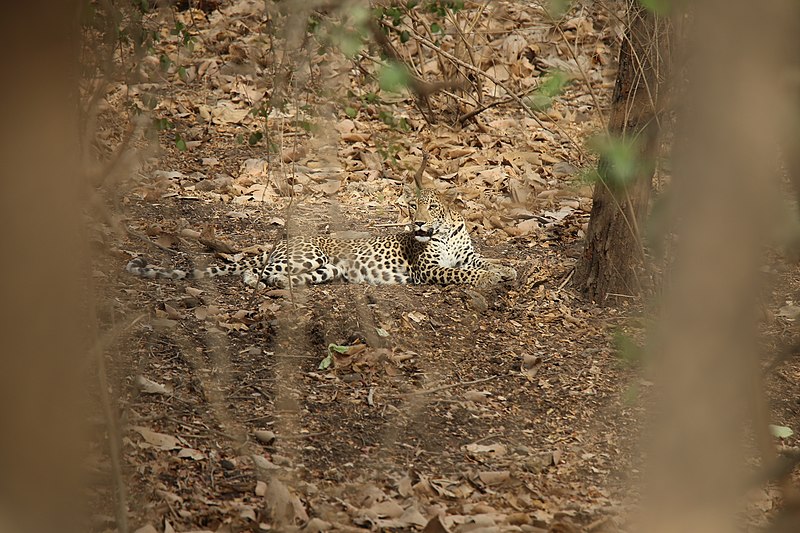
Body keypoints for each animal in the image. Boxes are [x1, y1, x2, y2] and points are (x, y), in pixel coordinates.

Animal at [122, 186, 516, 288]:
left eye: (431, 207)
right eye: (410, 207)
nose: (418, 224)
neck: (446, 232)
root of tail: (280, 242)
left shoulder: (465, 253)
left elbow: (480, 262)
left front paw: (504, 269)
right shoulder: (428, 269)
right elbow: (461, 273)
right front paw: (490, 279)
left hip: (324, 268)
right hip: (308, 256)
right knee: (257, 272)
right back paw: (259, 280)